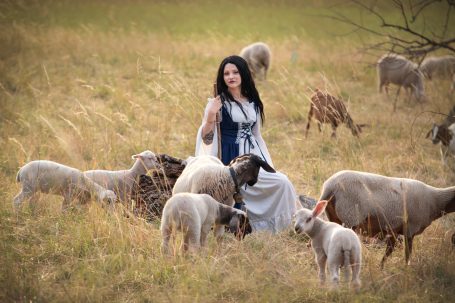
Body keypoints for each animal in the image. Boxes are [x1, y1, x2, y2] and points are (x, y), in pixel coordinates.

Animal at [318, 171, 455, 268]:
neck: (436, 201)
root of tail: (330, 187)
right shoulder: (409, 230)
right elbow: (407, 255)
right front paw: (407, 270)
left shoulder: (393, 231)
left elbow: (388, 252)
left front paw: (381, 268)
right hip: (350, 217)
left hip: (335, 218)